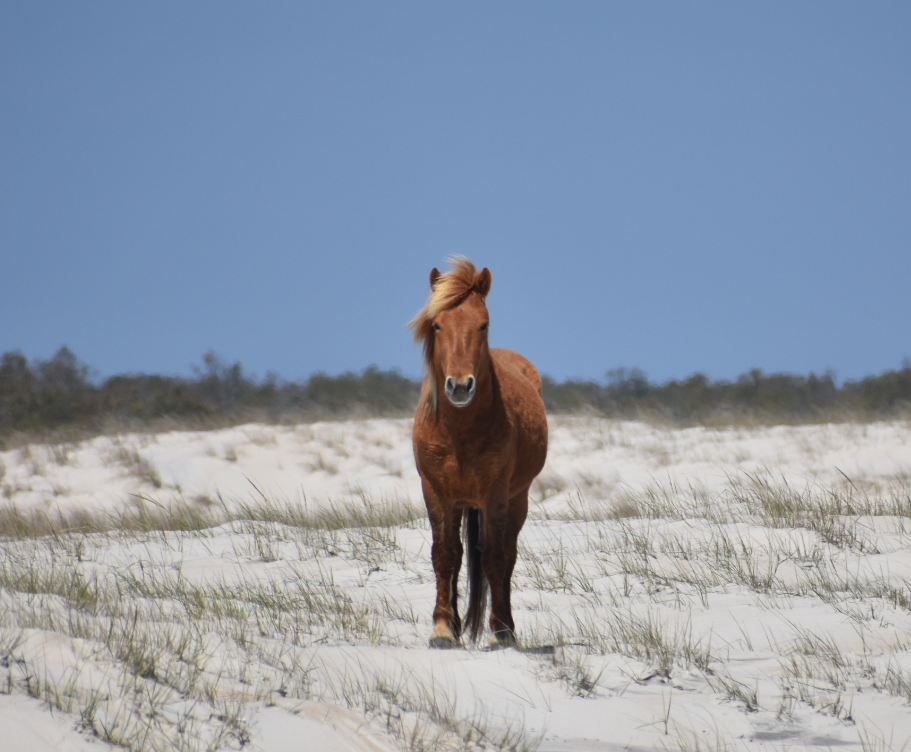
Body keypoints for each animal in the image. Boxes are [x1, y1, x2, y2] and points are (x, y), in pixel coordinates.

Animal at [410, 257, 548, 649]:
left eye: (483, 324)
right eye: (437, 324)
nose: (459, 386)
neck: (459, 431)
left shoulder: (495, 494)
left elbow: (495, 559)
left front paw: (501, 632)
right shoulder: (436, 492)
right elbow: (445, 555)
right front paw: (443, 629)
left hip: (517, 500)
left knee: (508, 556)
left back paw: (507, 626)